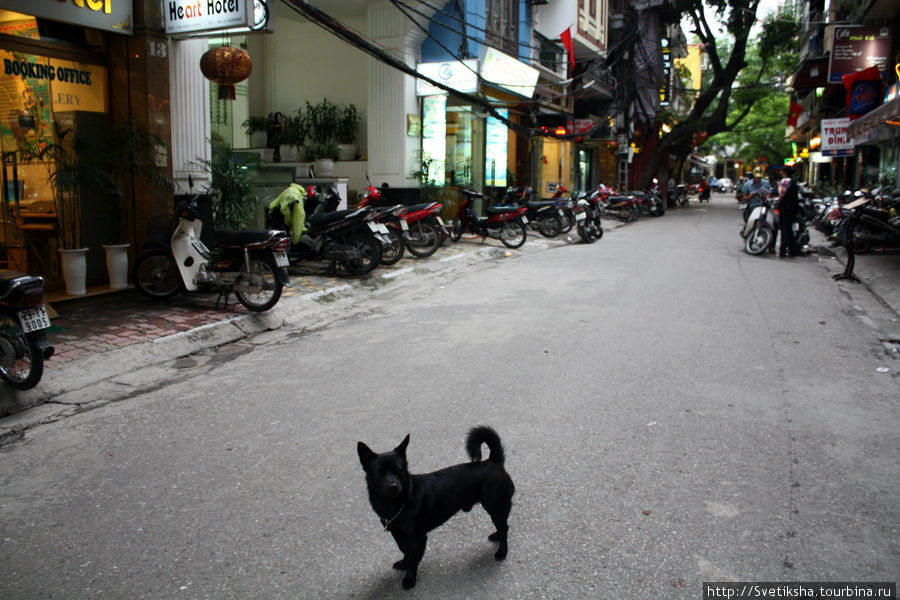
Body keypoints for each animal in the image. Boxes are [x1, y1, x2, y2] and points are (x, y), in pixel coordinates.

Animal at [356, 426, 516, 592]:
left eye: (399, 471)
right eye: (379, 472)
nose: (393, 486)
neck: (397, 503)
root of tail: (493, 461)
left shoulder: (418, 538)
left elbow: (413, 558)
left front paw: (409, 578)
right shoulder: (397, 533)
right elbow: (404, 549)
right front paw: (404, 563)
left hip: (496, 508)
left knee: (505, 527)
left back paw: (502, 551)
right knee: (502, 527)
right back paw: (497, 536)